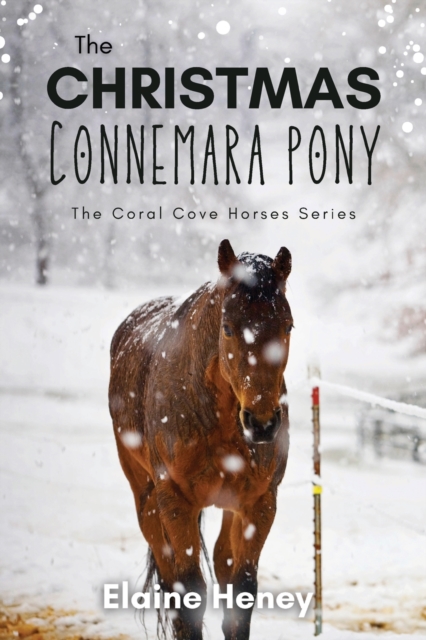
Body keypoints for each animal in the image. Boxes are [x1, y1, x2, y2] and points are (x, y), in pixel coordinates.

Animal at [108, 239, 293, 640]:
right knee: (170, 580)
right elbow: (189, 590)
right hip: (146, 499)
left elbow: (242, 589)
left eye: (288, 325)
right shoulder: (175, 501)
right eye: (227, 327)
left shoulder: (260, 502)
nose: (262, 423)